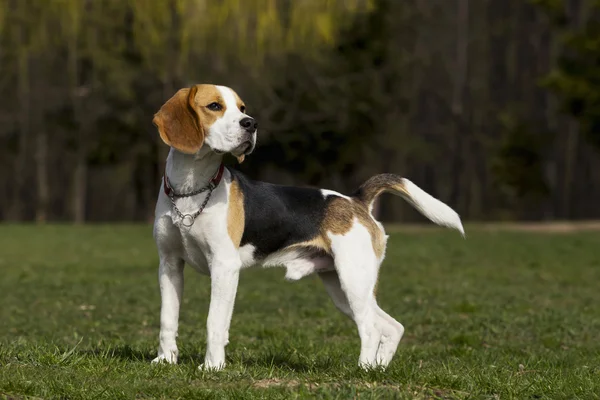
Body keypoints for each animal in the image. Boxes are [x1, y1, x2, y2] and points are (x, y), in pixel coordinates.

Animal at [151, 83, 464, 370]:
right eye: (214, 106)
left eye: (241, 108)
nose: (251, 123)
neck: (192, 188)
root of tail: (356, 200)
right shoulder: (169, 264)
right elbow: (167, 318)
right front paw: (165, 360)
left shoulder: (224, 267)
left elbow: (214, 322)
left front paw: (212, 367)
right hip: (343, 287)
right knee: (392, 326)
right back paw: (379, 367)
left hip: (353, 280)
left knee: (371, 328)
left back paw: (364, 370)